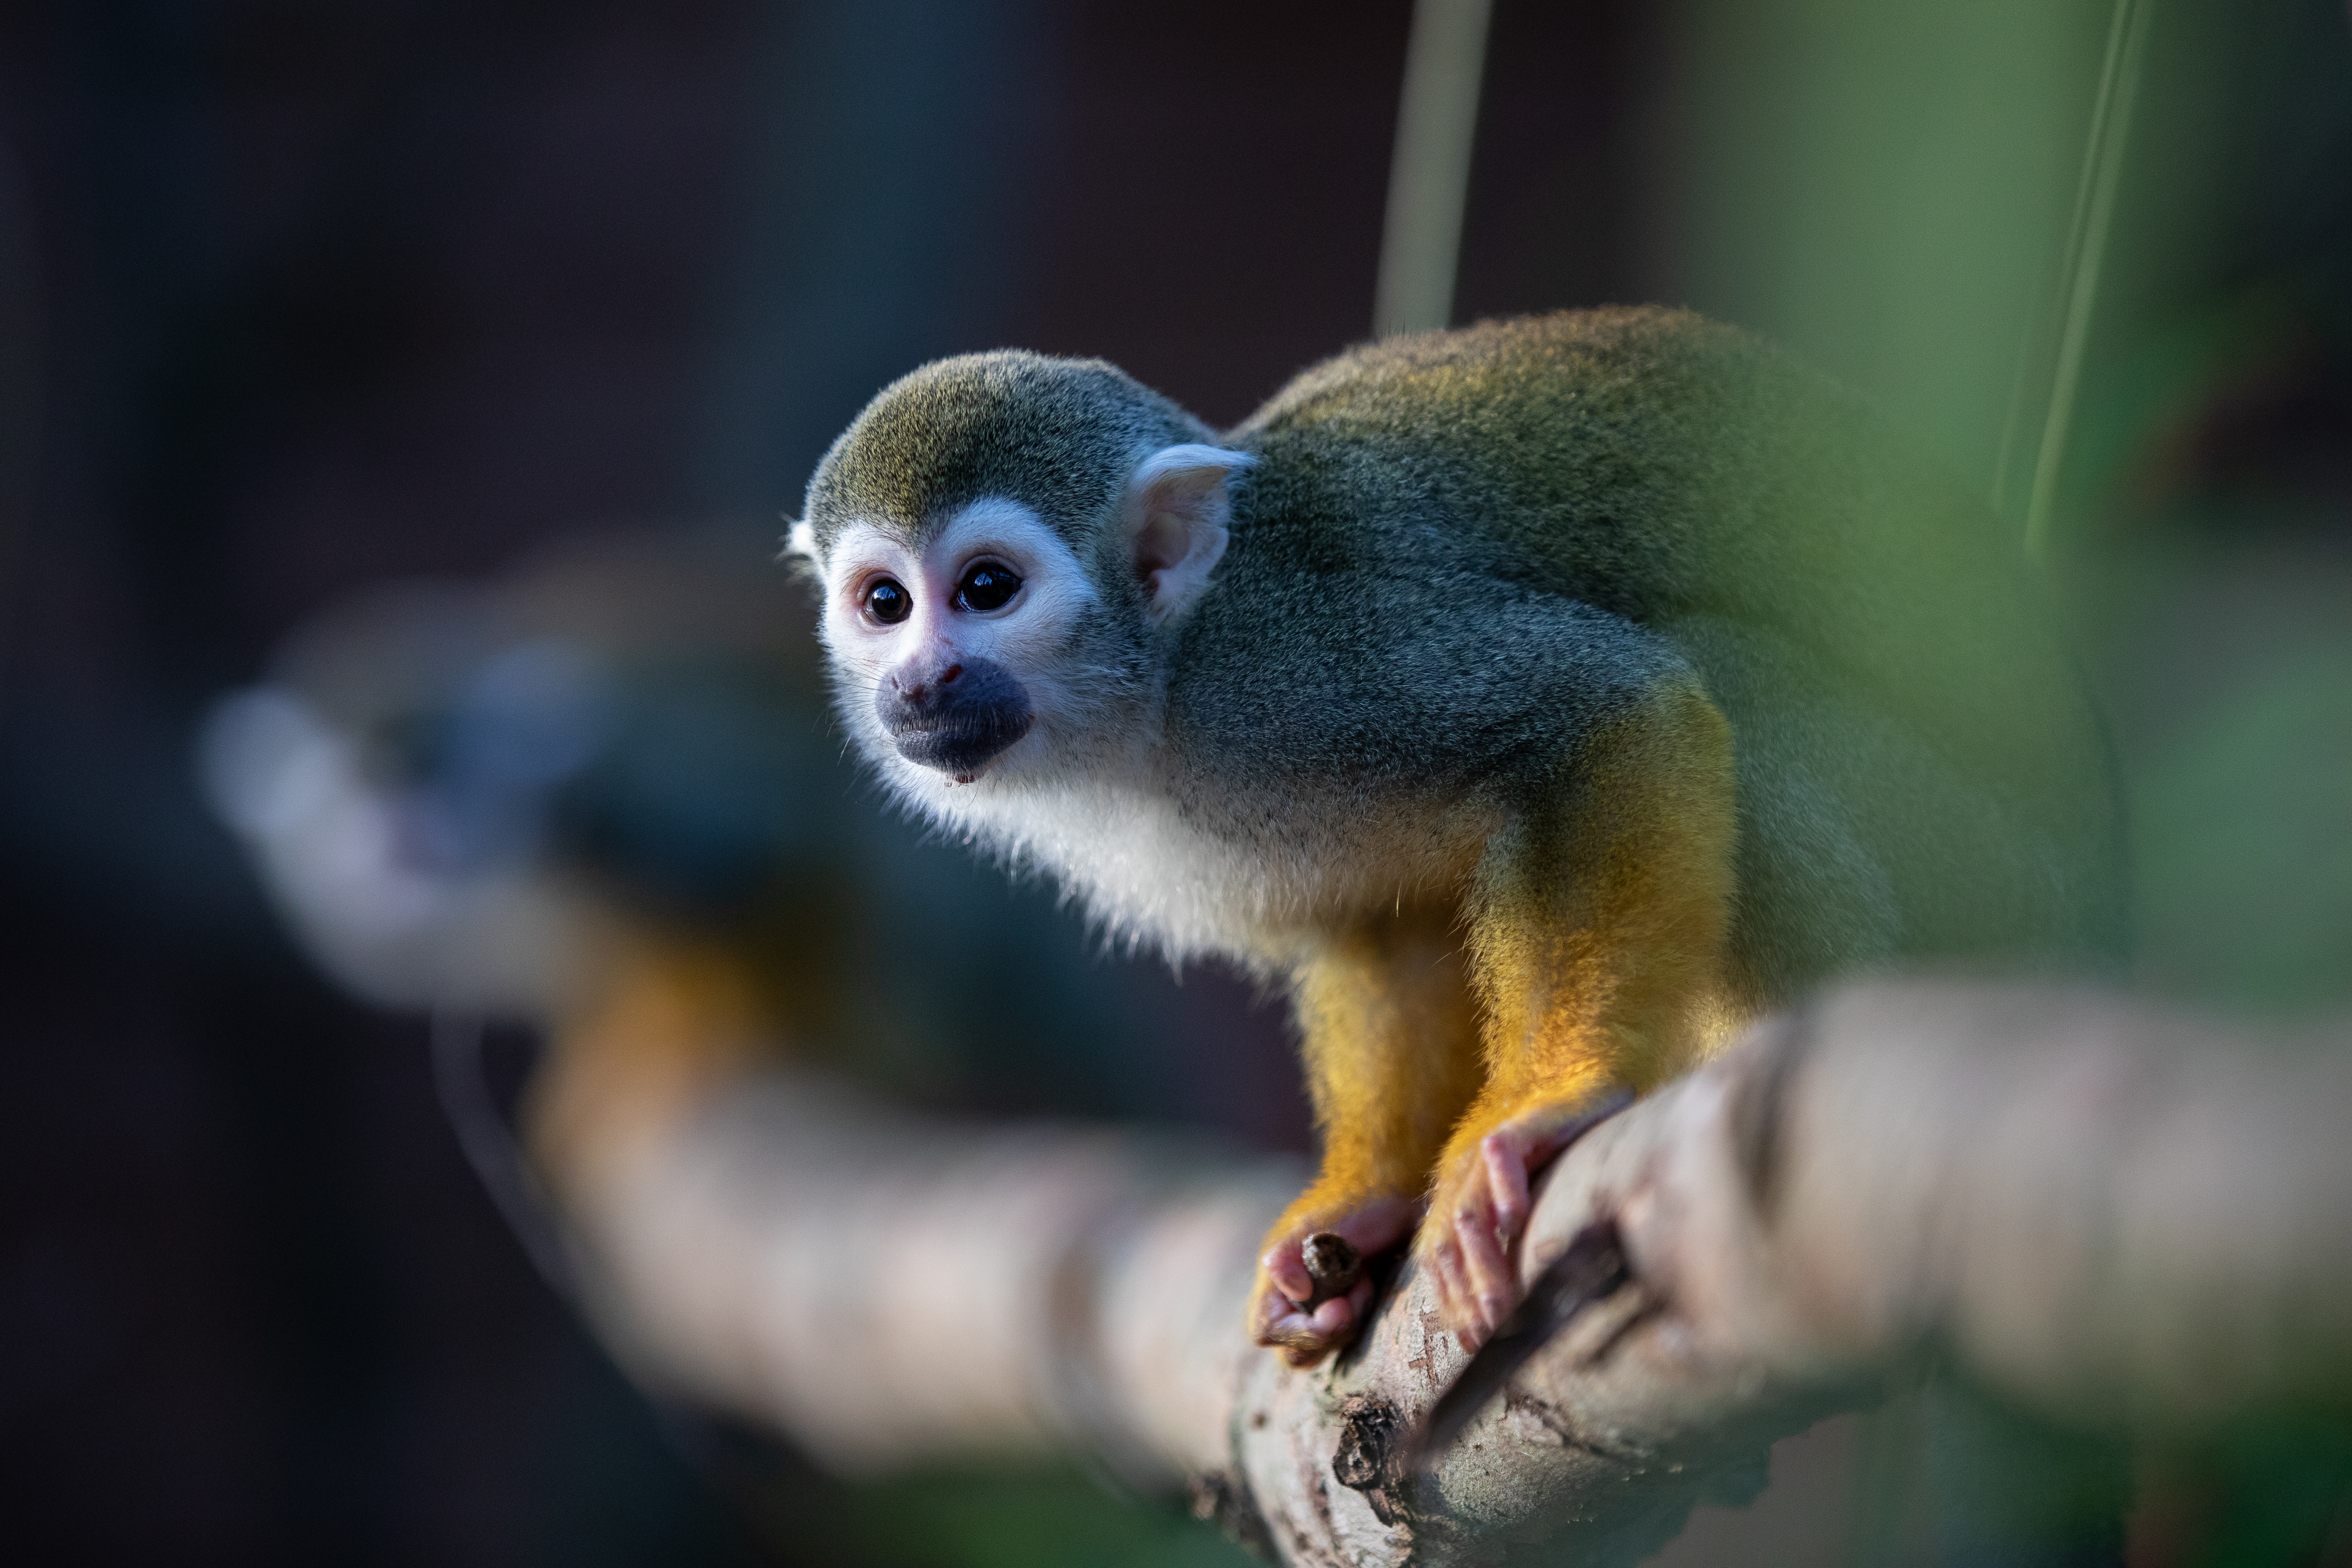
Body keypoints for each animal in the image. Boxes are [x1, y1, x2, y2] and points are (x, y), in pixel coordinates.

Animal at [790, 303, 2136, 1363]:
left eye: (985, 590)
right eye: (883, 603)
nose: (917, 682)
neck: (1158, 689)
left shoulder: (1304, 667)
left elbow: (1611, 709)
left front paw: (1550, 1098)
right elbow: (1376, 928)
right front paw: (1364, 1203)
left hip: (1988, 876)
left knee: (1731, 678)